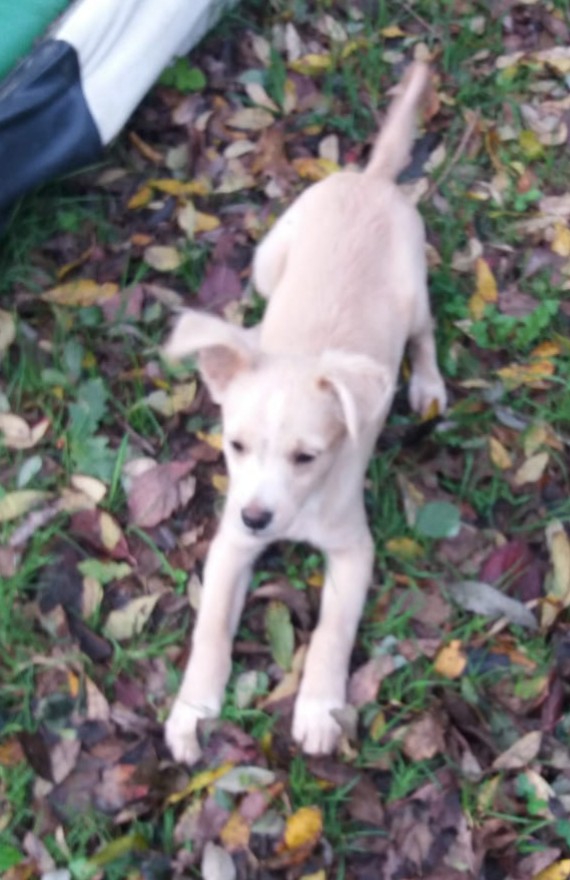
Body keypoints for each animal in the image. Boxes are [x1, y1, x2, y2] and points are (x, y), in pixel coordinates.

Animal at [162, 62, 446, 764]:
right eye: (235, 446)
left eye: (307, 457)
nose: (259, 517)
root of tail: (370, 180)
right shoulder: (229, 545)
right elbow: (210, 630)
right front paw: (191, 711)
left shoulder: (355, 549)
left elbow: (332, 632)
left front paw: (318, 706)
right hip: (269, 261)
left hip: (416, 292)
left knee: (426, 334)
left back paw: (428, 383)